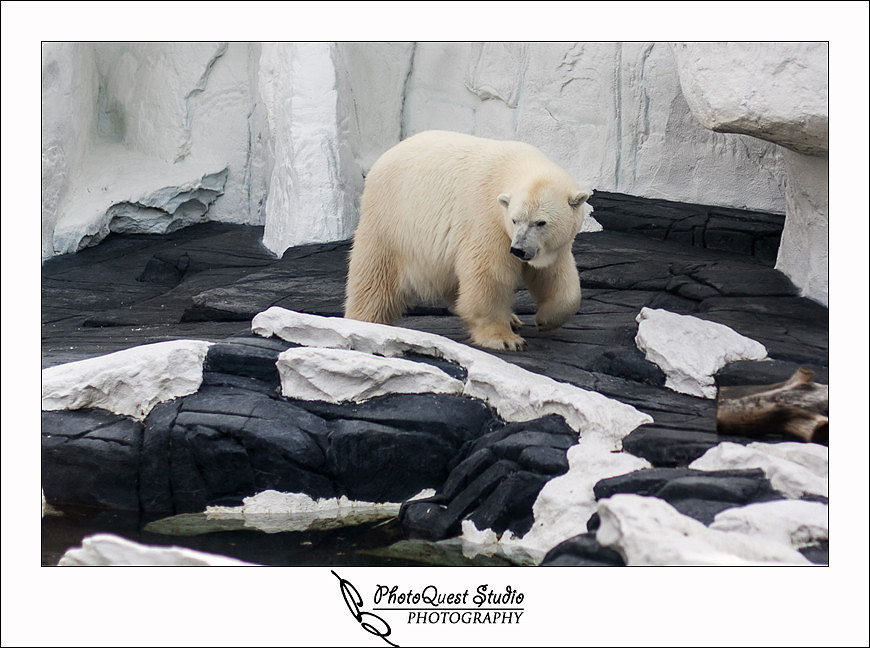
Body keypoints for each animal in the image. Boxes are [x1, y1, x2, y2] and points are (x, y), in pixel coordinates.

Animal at [344, 130, 591, 351]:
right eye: (514, 220)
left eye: (540, 222)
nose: (518, 250)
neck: (511, 167)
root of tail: (382, 159)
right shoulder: (487, 220)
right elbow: (489, 275)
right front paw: (505, 339)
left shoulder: (551, 246)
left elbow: (556, 277)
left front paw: (544, 320)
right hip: (392, 220)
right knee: (375, 277)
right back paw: (366, 322)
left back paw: (511, 317)